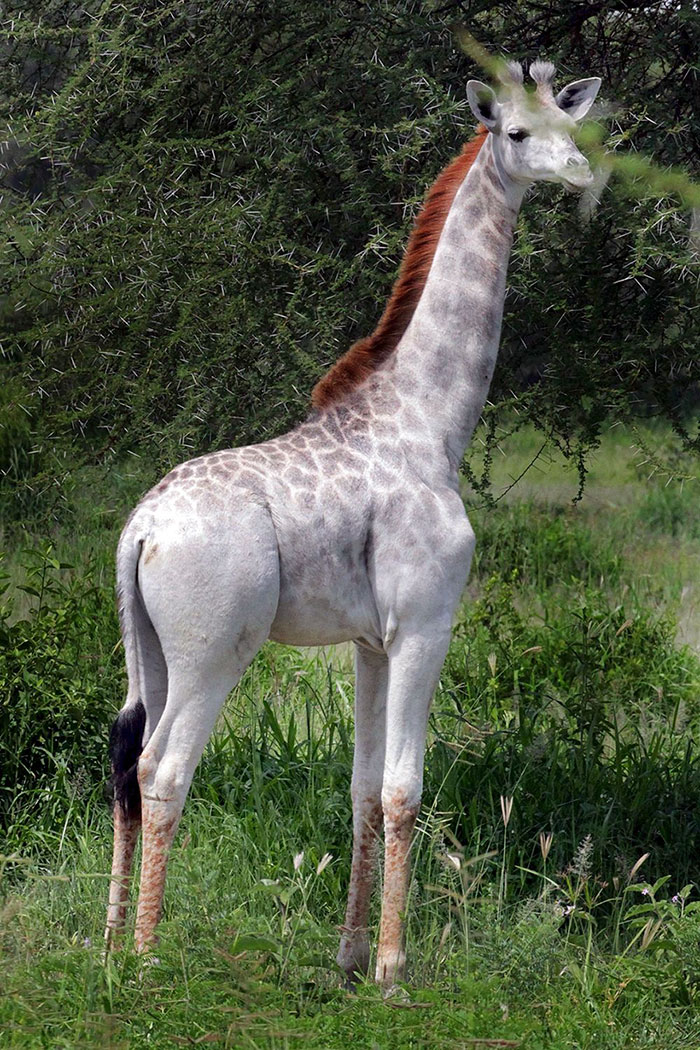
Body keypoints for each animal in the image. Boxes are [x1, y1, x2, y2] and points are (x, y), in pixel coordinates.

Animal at [105, 61, 604, 986]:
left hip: (147, 645)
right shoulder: (424, 624)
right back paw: (150, 960)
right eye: (516, 132)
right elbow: (407, 788)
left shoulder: (371, 640)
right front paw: (394, 970)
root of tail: (140, 530)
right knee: (164, 768)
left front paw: (347, 956)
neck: (433, 422)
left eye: (571, 122)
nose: (579, 171)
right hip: (213, 648)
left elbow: (363, 787)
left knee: (127, 756)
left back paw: (112, 938)